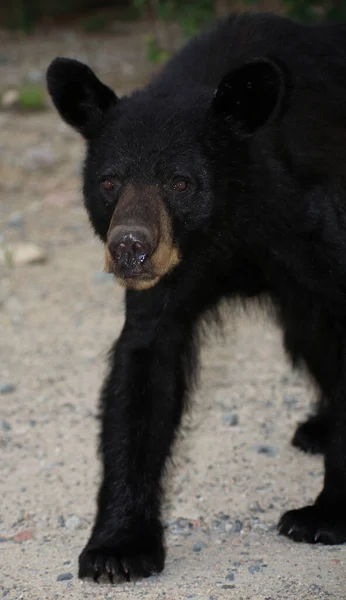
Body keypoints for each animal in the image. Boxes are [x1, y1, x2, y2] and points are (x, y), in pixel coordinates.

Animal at [46, 11, 346, 584]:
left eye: (180, 182)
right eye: (110, 182)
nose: (130, 249)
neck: (231, 228)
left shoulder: (319, 230)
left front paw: (323, 517)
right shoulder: (168, 283)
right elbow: (143, 374)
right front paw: (118, 548)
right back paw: (316, 428)